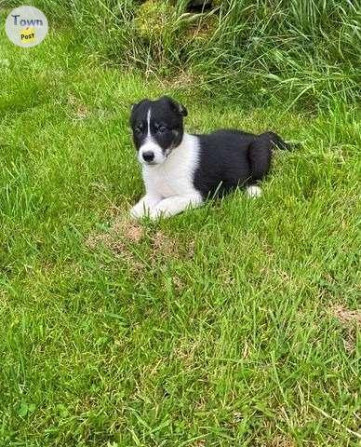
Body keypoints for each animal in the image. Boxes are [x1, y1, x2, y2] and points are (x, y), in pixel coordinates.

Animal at [129, 96, 292, 220]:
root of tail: (259, 136)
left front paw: (153, 215)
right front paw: (137, 215)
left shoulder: (196, 195)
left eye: (162, 129)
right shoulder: (153, 193)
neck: (166, 163)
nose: (147, 156)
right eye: (138, 130)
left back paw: (252, 191)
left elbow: (167, 203)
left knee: (257, 178)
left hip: (258, 153)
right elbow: (139, 208)